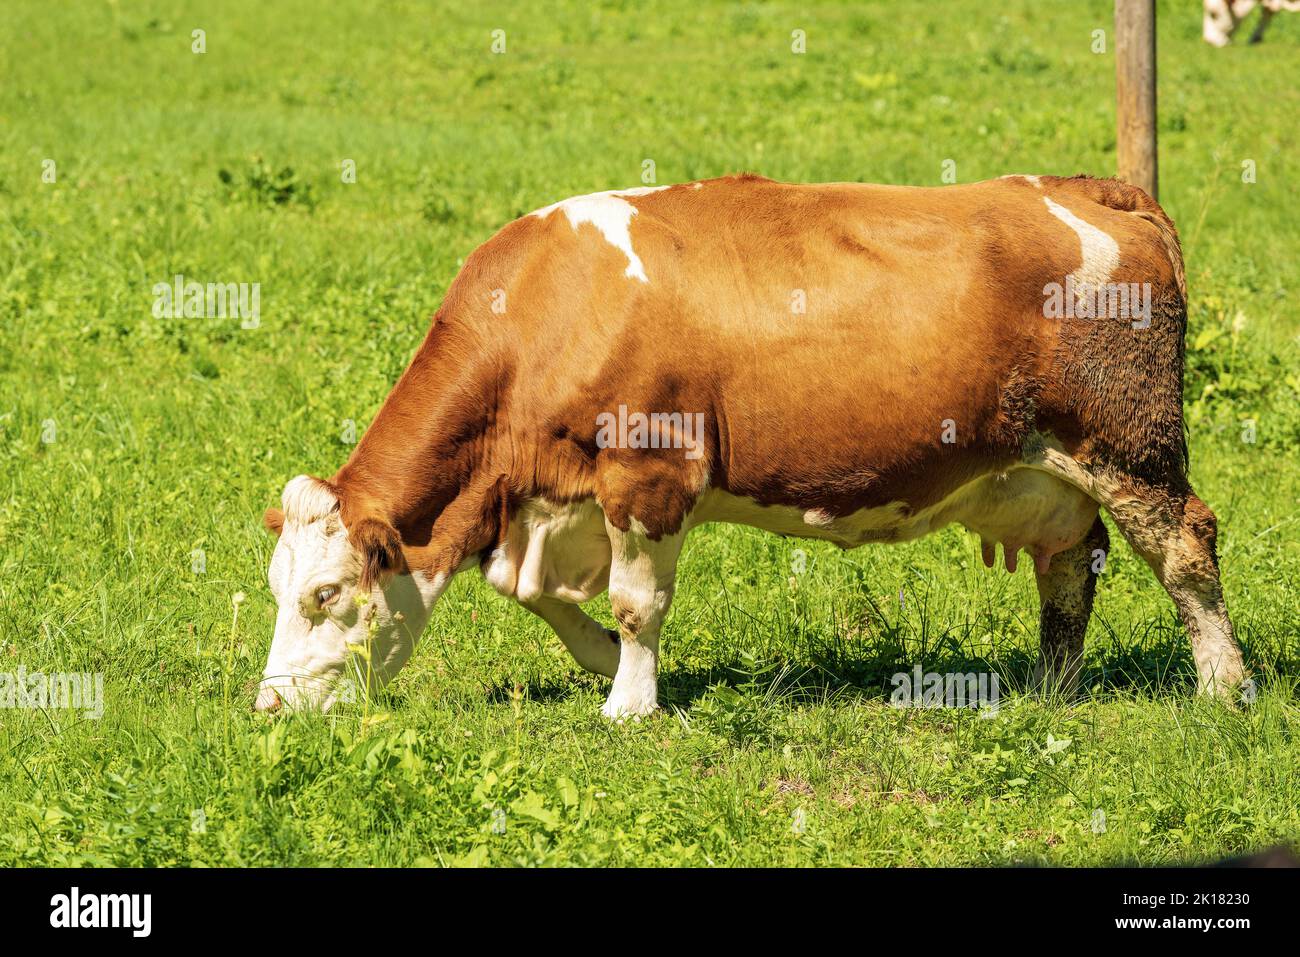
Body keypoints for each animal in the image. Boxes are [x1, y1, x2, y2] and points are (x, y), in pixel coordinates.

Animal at [256, 173, 1246, 719]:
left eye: (325, 593)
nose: (268, 704)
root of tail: (1085, 187)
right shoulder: (553, 498)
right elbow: (535, 592)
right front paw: (610, 668)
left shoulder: (650, 476)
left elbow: (635, 603)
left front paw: (630, 703)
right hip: (1039, 469)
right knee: (1071, 561)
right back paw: (1051, 686)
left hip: (1132, 446)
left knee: (1186, 549)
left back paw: (1223, 687)